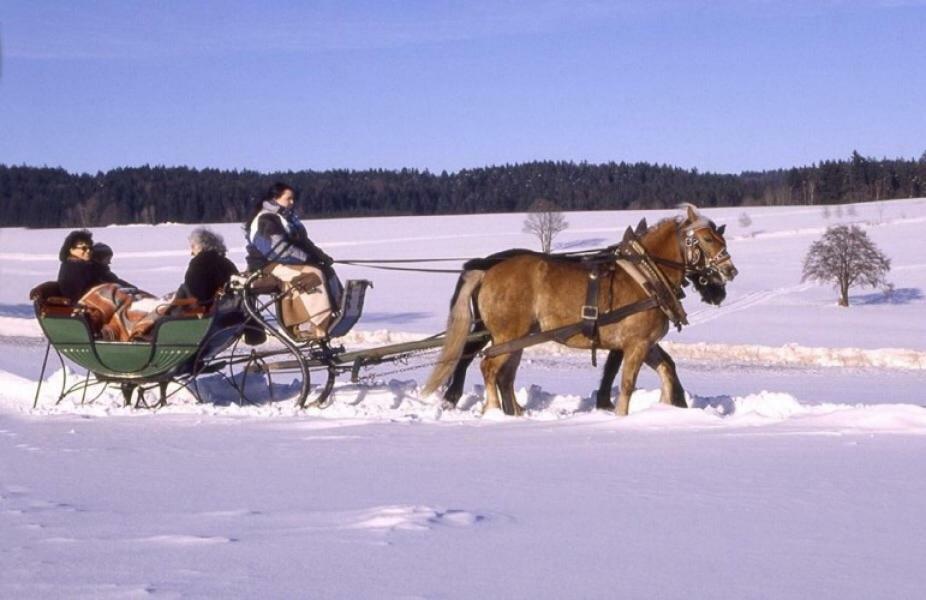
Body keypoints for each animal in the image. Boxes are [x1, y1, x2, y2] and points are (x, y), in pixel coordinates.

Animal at [426, 204, 740, 414]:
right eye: (708, 239)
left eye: (721, 238)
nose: (730, 271)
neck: (645, 276)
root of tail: (488, 270)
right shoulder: (635, 344)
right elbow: (626, 383)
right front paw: (620, 415)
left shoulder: (645, 343)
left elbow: (666, 368)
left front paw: (668, 407)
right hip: (506, 334)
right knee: (487, 366)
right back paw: (491, 411)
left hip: (518, 337)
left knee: (504, 374)